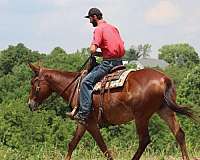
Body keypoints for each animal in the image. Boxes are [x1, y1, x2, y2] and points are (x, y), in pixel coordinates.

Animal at [27, 63, 196, 160]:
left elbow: (104, 148)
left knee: (144, 140)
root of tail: (163, 79)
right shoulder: (82, 122)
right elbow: (72, 144)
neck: (76, 87)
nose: (29, 104)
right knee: (179, 134)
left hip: (141, 116)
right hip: (165, 111)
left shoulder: (91, 123)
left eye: (33, 82)